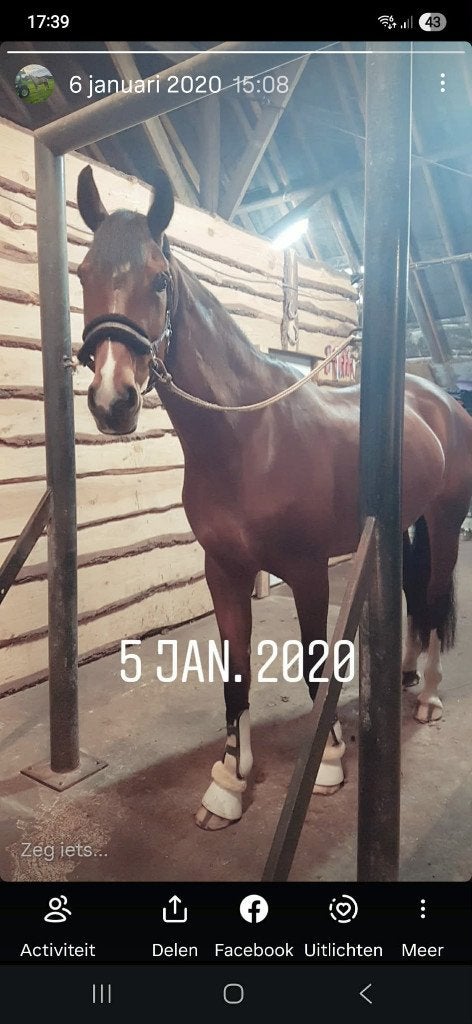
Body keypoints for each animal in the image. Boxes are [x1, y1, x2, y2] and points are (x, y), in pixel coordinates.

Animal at [75, 165, 472, 831]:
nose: (112, 400)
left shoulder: (309, 571)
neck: (248, 437)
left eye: (159, 279)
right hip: (401, 528)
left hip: (444, 520)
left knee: (437, 591)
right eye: (83, 273)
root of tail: (439, 399)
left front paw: (330, 761)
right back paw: (407, 673)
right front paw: (228, 784)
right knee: (415, 600)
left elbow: (314, 661)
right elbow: (234, 676)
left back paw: (432, 695)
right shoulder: (224, 571)